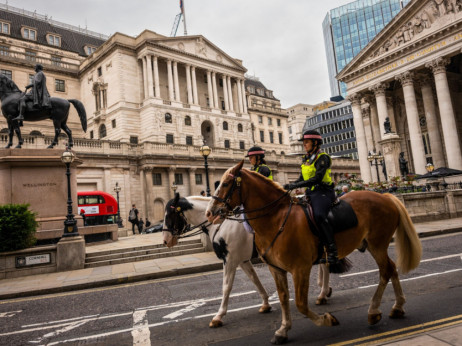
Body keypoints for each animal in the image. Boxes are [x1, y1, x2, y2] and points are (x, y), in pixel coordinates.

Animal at [163, 195, 272, 328]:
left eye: (169, 215)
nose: (165, 241)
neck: (220, 224)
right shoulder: (242, 260)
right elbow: (255, 279)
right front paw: (265, 303)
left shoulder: (229, 260)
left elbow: (226, 287)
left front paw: (218, 316)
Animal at [206, 162, 422, 344]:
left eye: (225, 183)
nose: (210, 212)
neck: (276, 220)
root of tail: (385, 196)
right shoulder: (274, 268)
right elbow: (283, 297)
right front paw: (282, 329)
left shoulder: (300, 268)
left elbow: (300, 303)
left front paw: (327, 319)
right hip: (372, 244)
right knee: (391, 268)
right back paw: (397, 307)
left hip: (377, 244)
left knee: (385, 271)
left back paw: (373, 311)